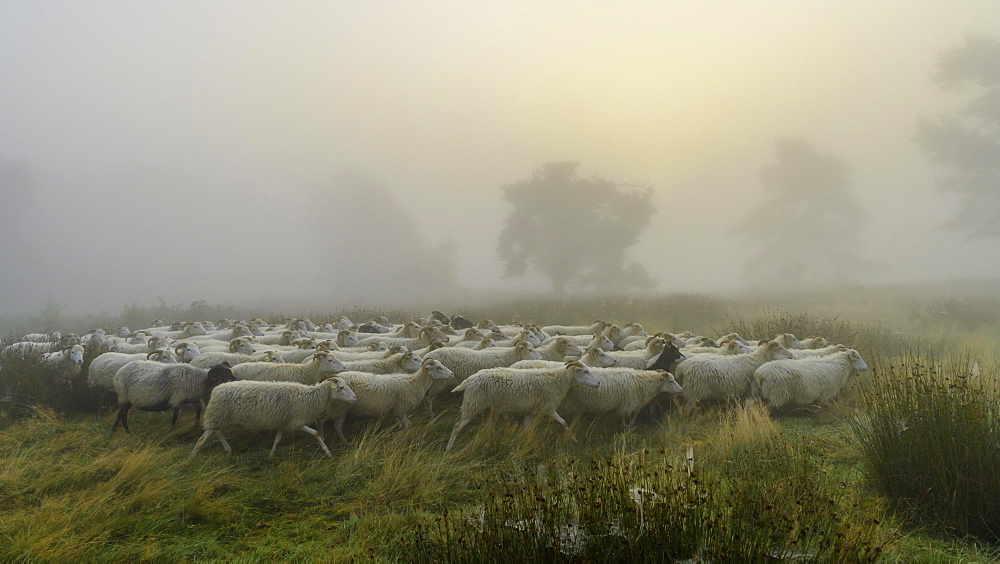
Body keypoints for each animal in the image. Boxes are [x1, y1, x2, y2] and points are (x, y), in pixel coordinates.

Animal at [189, 374, 358, 458]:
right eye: (340, 387)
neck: (311, 396)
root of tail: (216, 389)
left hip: (221, 417)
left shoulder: (283, 422)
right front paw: (327, 452)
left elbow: (277, 439)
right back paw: (191, 459)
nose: (355, 398)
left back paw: (228, 450)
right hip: (217, 415)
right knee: (201, 440)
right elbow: (316, 433)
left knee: (218, 432)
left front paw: (271, 455)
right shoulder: (296, 422)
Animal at [448, 362, 600, 454]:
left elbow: (527, 428)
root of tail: (469, 380)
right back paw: (448, 449)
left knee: (486, 427)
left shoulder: (531, 411)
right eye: (585, 371)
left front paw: (518, 441)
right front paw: (575, 440)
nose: (598, 383)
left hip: (487, 408)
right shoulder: (548, 407)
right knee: (457, 426)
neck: (557, 378)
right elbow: (563, 422)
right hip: (472, 404)